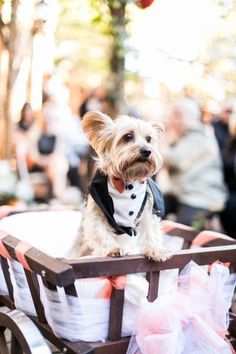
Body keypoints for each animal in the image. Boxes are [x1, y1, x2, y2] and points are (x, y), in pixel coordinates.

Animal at [75, 112, 170, 262]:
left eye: (149, 139)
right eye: (128, 136)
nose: (147, 151)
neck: (128, 182)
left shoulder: (148, 209)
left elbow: (150, 231)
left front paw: (155, 250)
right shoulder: (96, 211)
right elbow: (99, 231)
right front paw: (113, 249)